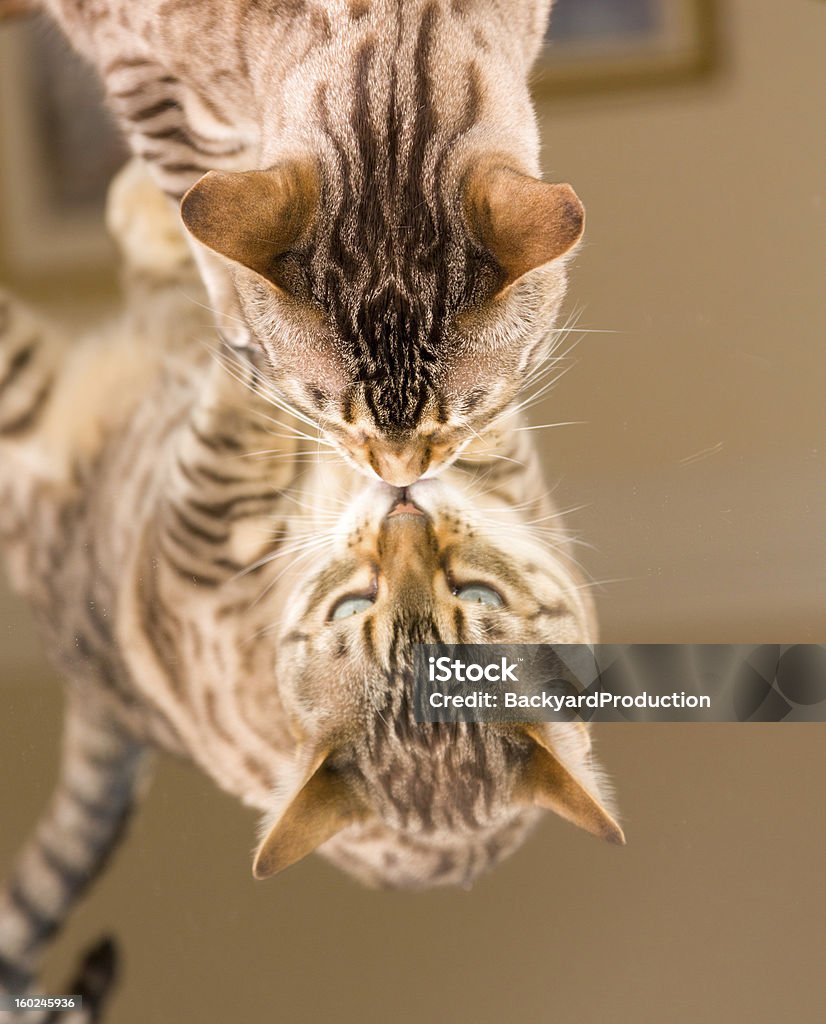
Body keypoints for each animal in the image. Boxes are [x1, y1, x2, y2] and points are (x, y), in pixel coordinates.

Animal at [0, 163, 622, 1011]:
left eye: (475, 599)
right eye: (355, 606)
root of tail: (89, 685)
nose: (404, 509)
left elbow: (262, 381)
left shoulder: (206, 517)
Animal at [9, 0, 585, 487]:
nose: (399, 479)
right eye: (330, 414)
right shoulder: (137, 70)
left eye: (465, 415)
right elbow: (191, 185)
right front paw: (239, 319)